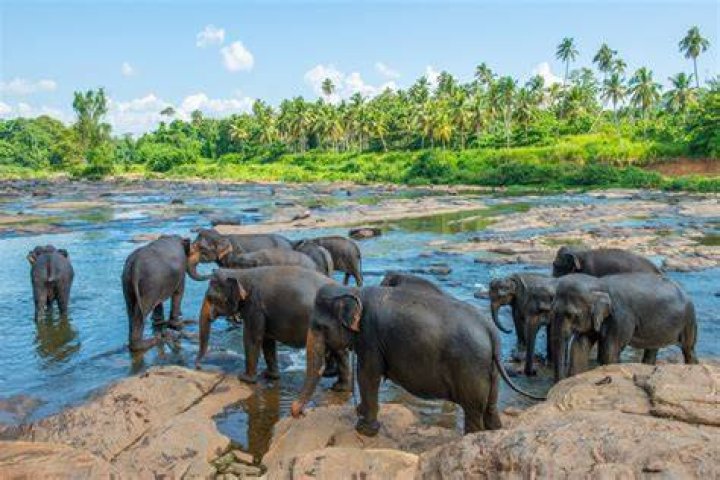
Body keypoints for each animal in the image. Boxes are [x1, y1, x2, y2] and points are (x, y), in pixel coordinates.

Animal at [195, 266, 351, 390]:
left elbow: (252, 338)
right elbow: (267, 340)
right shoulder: (264, 313)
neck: (240, 273)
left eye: (211, 297)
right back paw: (334, 379)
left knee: (339, 351)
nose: (198, 366)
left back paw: (338, 386)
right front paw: (269, 375)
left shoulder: (255, 307)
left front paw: (245, 378)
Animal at [290, 284, 545, 436]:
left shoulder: (370, 337)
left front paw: (363, 430)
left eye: (320, 327)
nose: (298, 413)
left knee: (474, 411)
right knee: (490, 408)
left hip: (470, 367)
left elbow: (367, 375)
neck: (354, 291)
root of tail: (491, 331)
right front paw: (360, 413)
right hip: (490, 369)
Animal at [551, 273, 698, 382]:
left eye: (571, 314)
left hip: (689, 320)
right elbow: (579, 346)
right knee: (652, 349)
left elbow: (609, 353)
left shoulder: (621, 317)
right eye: (553, 311)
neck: (599, 283)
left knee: (688, 348)